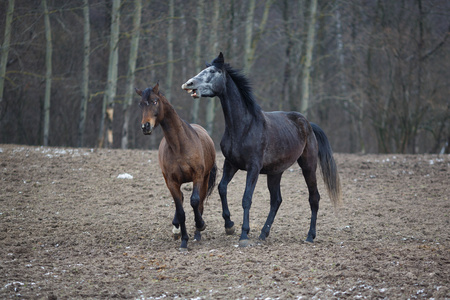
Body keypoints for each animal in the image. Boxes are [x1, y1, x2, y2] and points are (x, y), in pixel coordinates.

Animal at [135, 82, 216, 251]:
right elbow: (180, 211)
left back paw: (198, 233)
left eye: (154, 101)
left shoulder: (198, 176)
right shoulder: (171, 182)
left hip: (205, 179)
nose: (145, 126)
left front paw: (200, 225)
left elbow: (195, 201)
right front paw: (183, 240)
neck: (179, 145)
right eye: (140, 104)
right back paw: (177, 229)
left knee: (199, 203)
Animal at [182, 52, 342, 247]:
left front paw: (244, 234)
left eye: (213, 71)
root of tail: (308, 125)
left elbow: (246, 198)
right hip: (275, 172)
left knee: (314, 198)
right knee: (276, 200)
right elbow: (222, 188)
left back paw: (310, 236)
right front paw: (229, 225)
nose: (189, 84)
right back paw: (264, 233)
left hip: (308, 166)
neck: (244, 126)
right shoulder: (231, 164)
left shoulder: (254, 168)